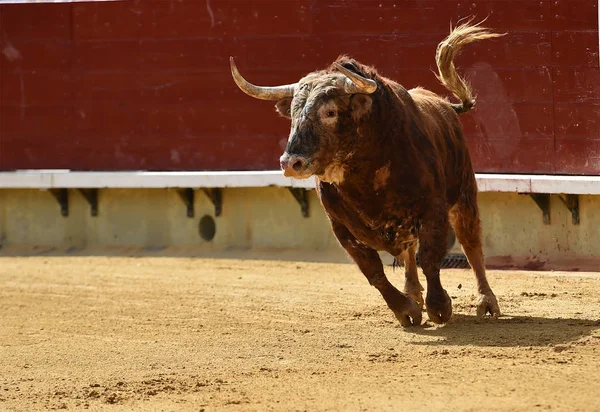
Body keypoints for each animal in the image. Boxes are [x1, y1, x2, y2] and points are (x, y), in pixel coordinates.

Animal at [232, 21, 504, 326]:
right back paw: (413, 293)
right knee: (408, 251)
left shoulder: (432, 209)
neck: (364, 176)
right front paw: (405, 310)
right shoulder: (341, 226)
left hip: (464, 194)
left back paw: (486, 302)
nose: (291, 162)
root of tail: (446, 105)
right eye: (292, 113)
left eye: (330, 112)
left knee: (471, 245)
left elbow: (430, 257)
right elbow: (373, 271)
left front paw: (440, 307)